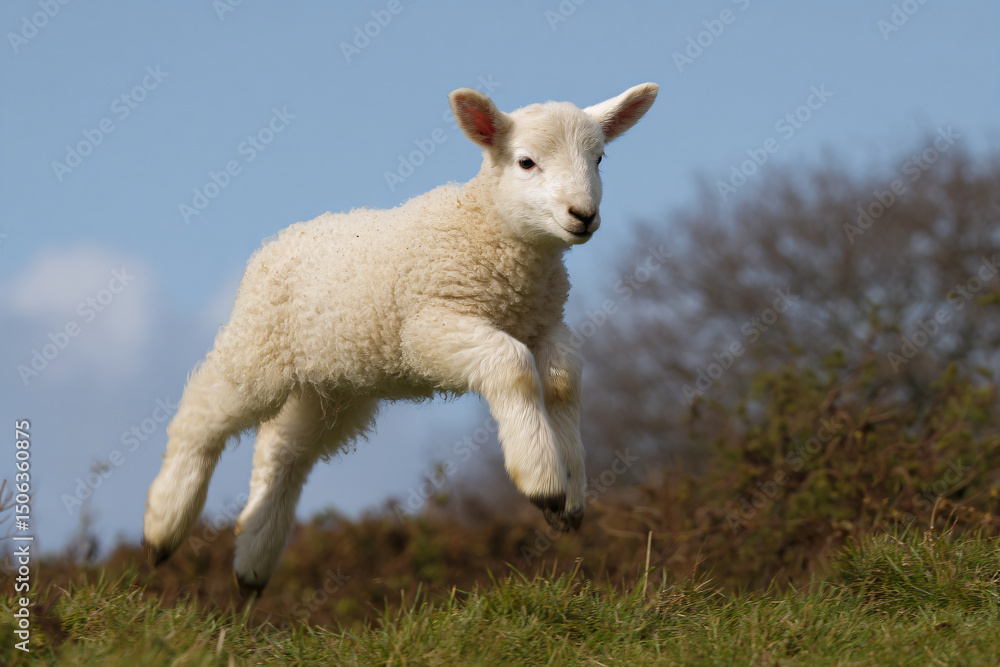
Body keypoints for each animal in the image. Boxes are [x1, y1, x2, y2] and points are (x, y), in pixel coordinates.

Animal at [143, 82, 659, 594]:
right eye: (526, 162)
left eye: (599, 159)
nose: (583, 215)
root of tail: (282, 239)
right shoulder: (429, 327)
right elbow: (512, 365)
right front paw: (543, 478)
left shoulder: (548, 328)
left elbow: (563, 382)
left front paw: (570, 494)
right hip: (261, 347)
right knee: (202, 410)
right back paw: (164, 524)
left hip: (335, 384)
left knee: (283, 448)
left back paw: (253, 558)